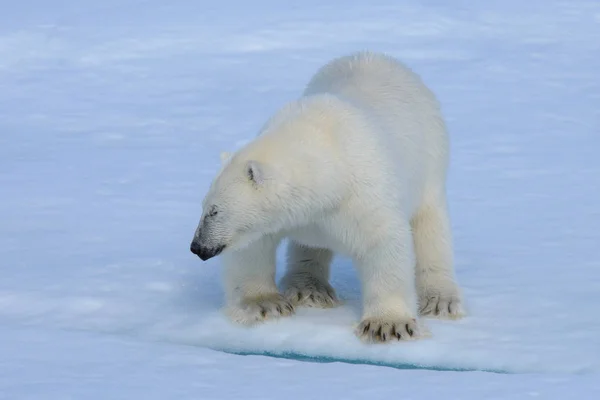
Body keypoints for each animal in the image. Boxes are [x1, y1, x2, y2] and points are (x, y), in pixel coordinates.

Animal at [191, 51, 464, 342]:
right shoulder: (296, 215)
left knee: (431, 229)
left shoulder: (365, 192)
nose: (197, 247)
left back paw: (440, 300)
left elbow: (384, 243)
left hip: (431, 162)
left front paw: (387, 324)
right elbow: (254, 246)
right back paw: (310, 289)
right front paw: (265, 304)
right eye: (204, 206)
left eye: (214, 210)